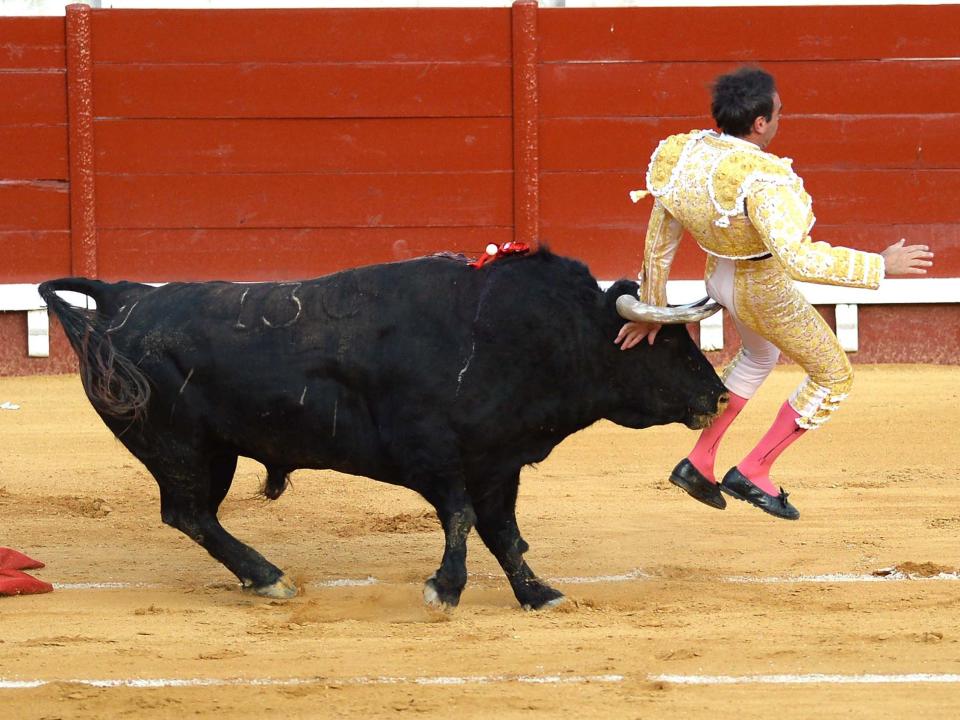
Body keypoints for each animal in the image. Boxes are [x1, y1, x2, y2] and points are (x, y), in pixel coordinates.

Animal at [39, 250, 728, 612]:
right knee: (187, 514)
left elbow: (504, 533)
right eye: (662, 343)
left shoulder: (496, 463)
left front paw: (538, 593)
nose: (719, 395)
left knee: (193, 515)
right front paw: (444, 589)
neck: (515, 333)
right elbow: (462, 519)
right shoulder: (434, 457)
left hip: (209, 453)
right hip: (183, 449)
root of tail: (122, 299)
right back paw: (268, 576)